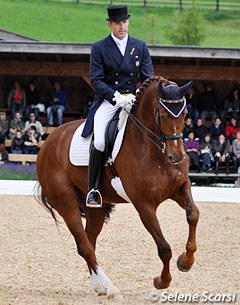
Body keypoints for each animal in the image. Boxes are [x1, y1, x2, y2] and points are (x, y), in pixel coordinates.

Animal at [36, 75, 200, 296]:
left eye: (185, 114)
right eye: (162, 114)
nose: (177, 156)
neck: (154, 150)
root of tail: (48, 141)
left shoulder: (181, 188)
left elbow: (193, 214)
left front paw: (186, 261)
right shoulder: (144, 206)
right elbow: (164, 248)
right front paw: (162, 281)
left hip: (94, 208)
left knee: (89, 242)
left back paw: (99, 286)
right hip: (66, 203)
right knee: (84, 245)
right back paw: (110, 288)